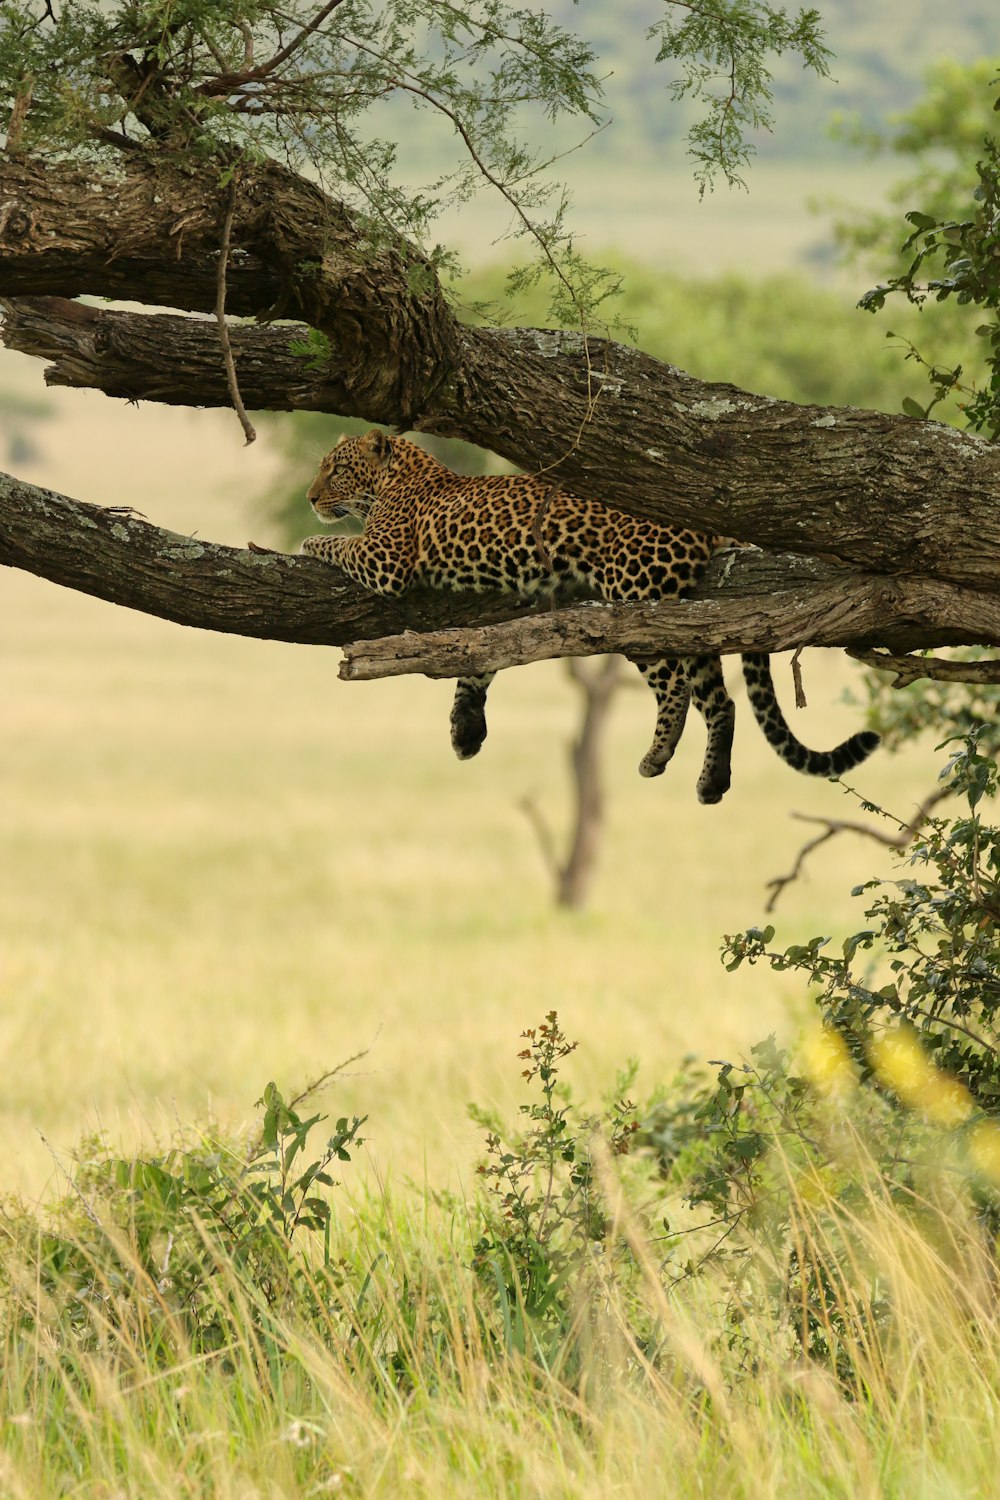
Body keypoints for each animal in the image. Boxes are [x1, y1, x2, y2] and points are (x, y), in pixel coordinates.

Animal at [301, 429, 881, 804]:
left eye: (336, 469)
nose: (308, 498)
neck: (401, 476)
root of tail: (703, 521)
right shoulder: (515, 596)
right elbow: (478, 655)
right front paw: (466, 728)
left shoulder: (385, 559)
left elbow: (338, 543)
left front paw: (307, 540)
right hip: (688, 614)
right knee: (721, 701)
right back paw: (712, 782)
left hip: (636, 595)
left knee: (675, 687)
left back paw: (658, 755)